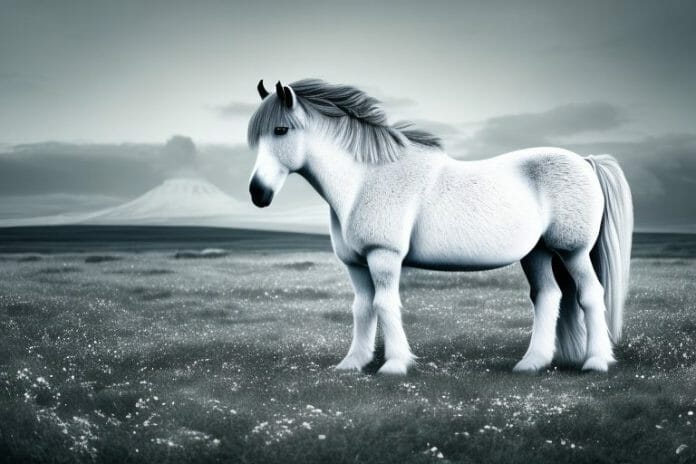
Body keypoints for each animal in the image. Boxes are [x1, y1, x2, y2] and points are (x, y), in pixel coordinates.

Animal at [246, 79, 633, 375]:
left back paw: (596, 362)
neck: (365, 180)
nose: (257, 193)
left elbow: (385, 304)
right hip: (536, 253)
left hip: (573, 251)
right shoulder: (356, 263)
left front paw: (394, 365)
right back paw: (531, 363)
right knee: (548, 297)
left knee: (590, 295)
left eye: (280, 130)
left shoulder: (383, 256)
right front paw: (352, 364)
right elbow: (363, 308)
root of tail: (584, 161)